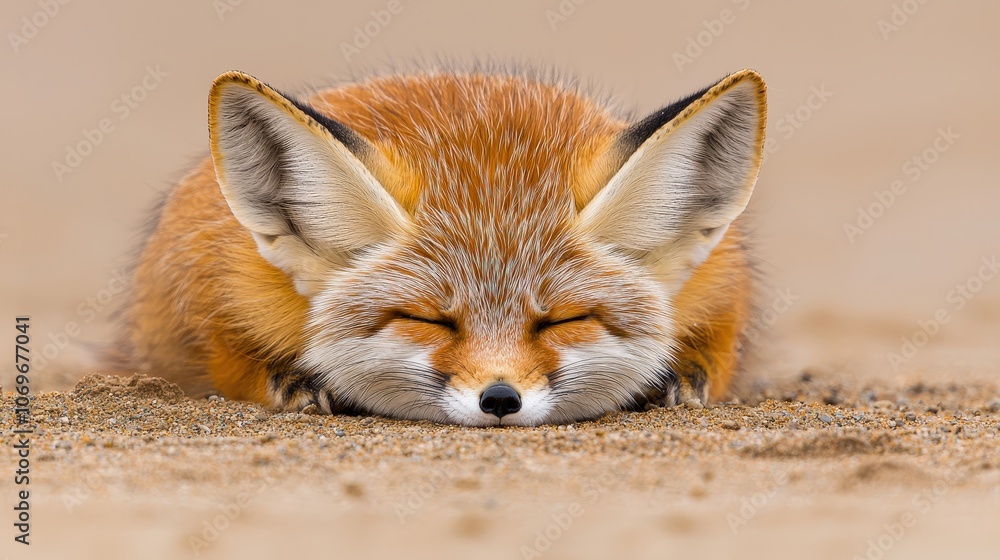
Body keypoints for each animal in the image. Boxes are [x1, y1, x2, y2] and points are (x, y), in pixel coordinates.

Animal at [120, 66, 766, 426]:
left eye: (564, 320)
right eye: (427, 320)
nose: (500, 399)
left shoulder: (721, 284)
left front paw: (675, 375)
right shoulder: (218, 287)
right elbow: (225, 361)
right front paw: (289, 380)